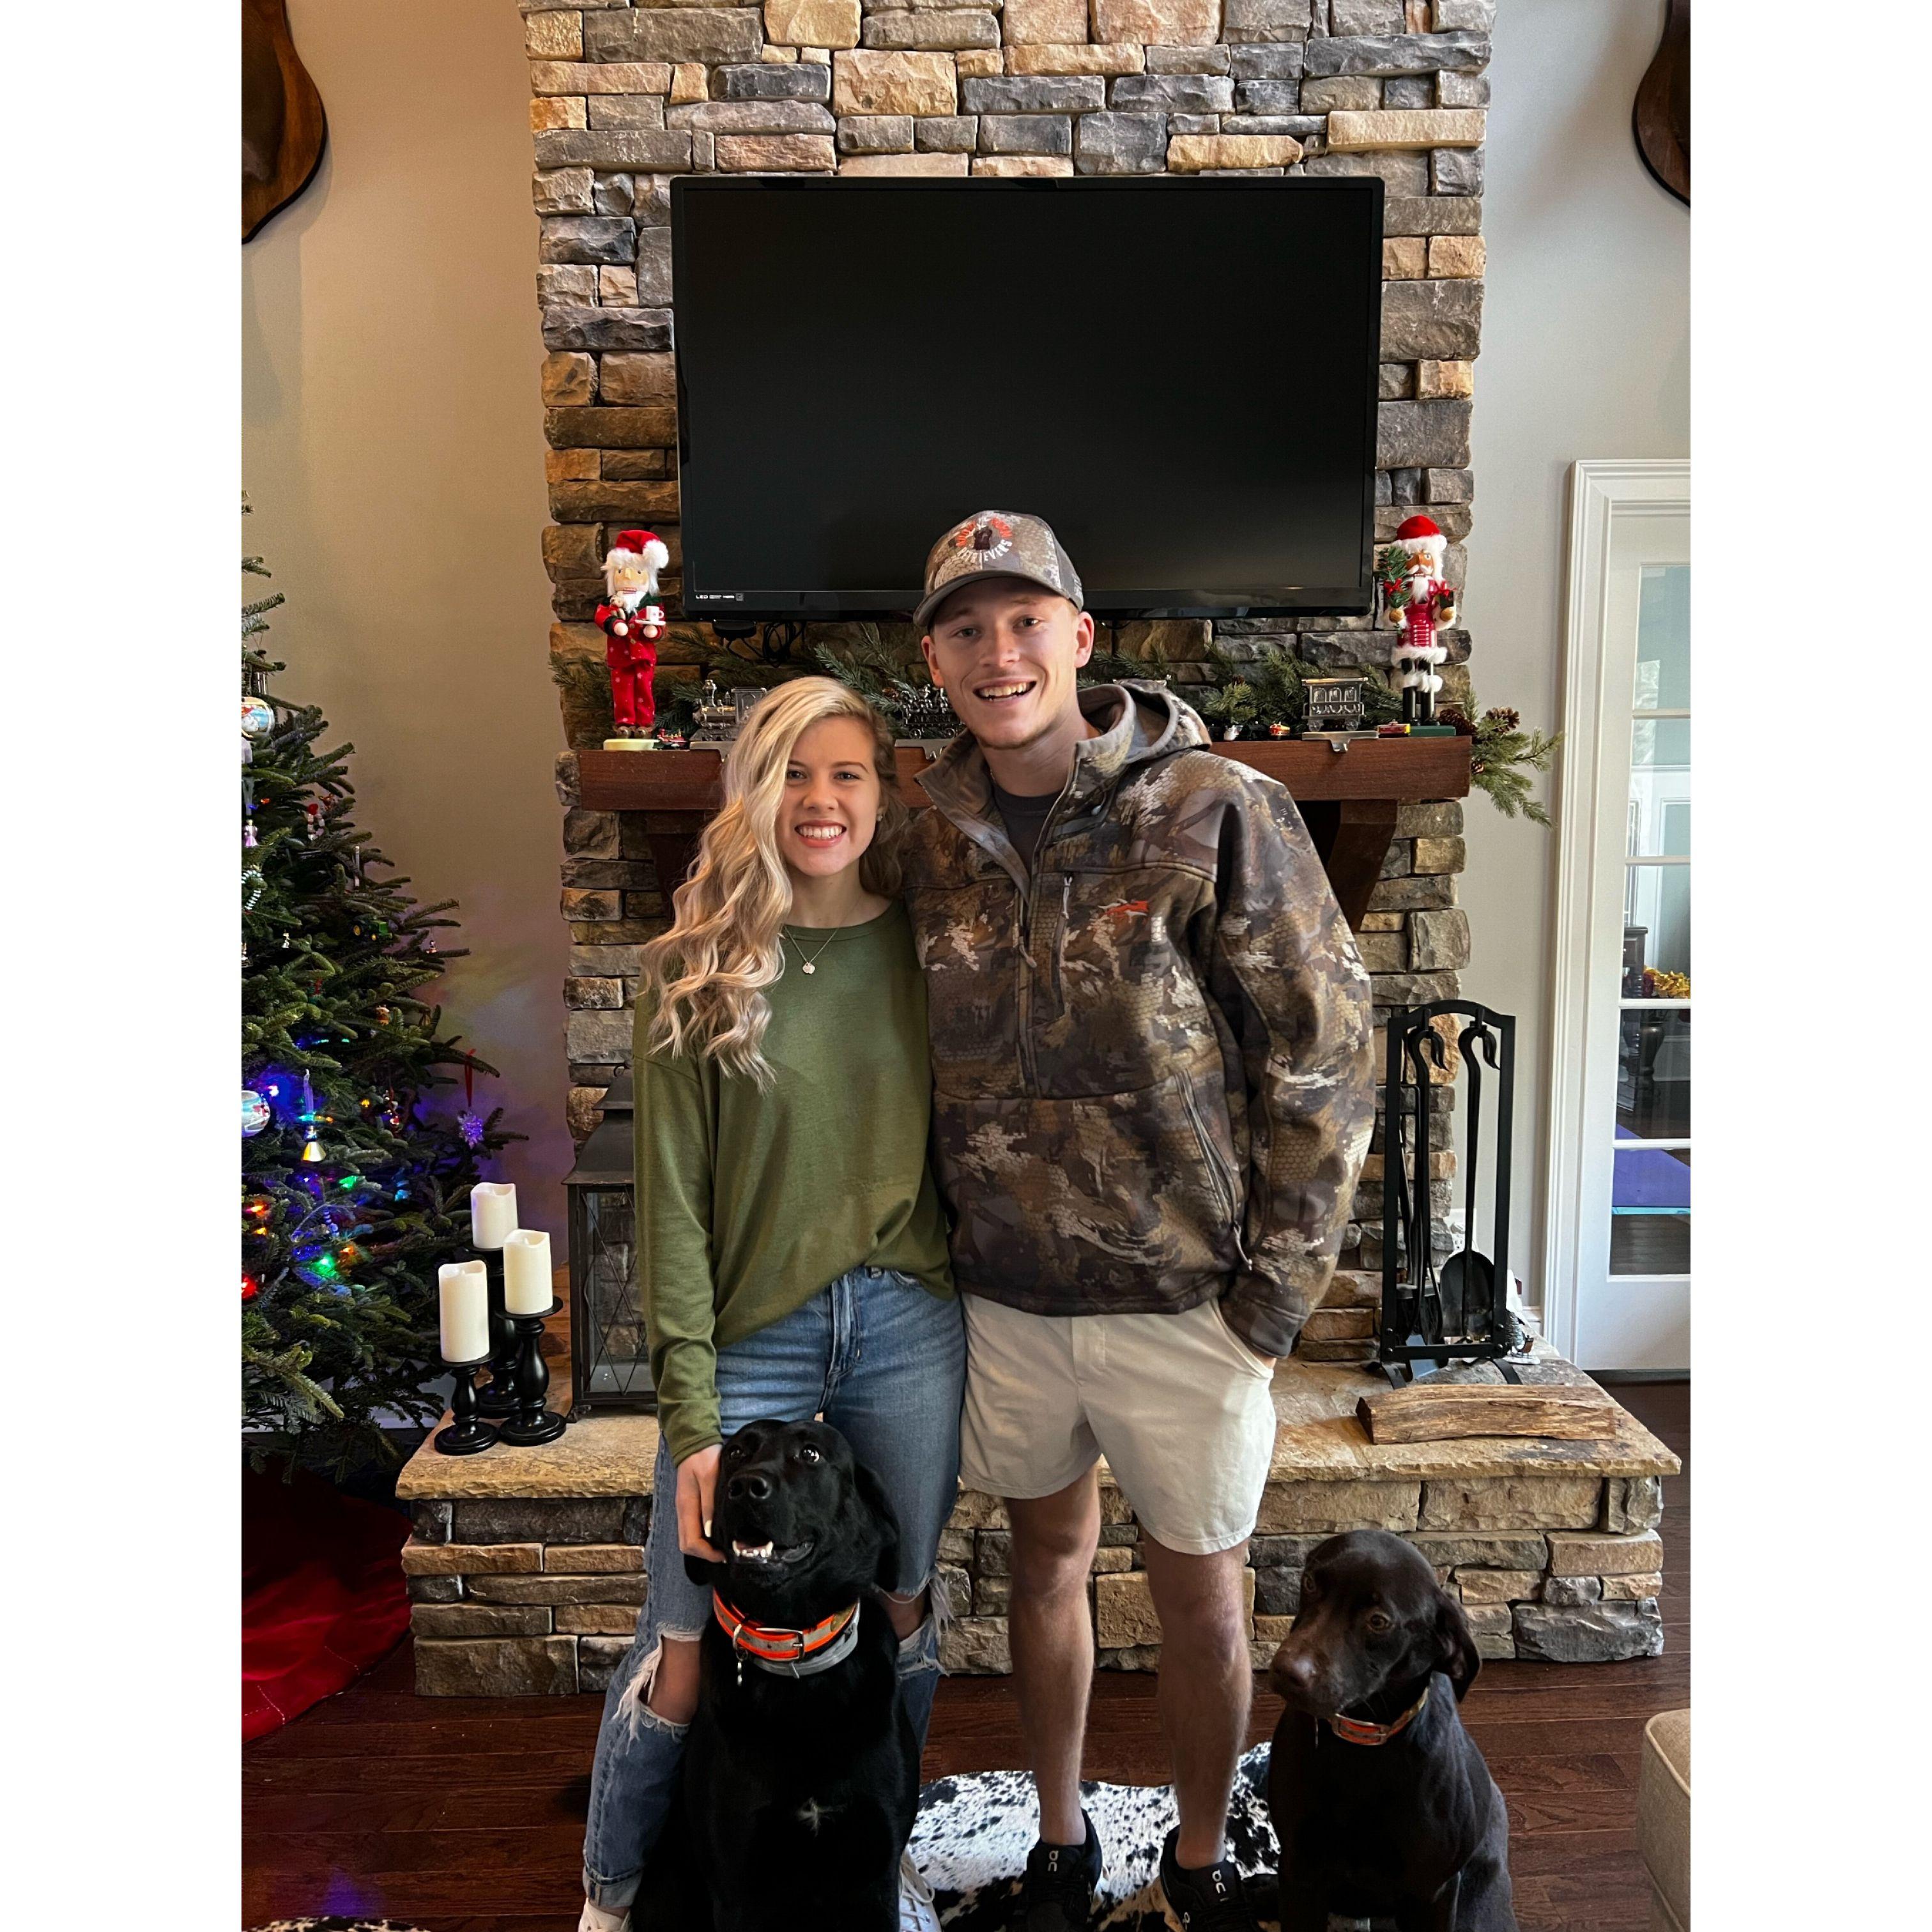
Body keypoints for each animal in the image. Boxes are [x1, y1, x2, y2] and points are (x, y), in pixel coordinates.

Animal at [632, 1418, 919, 1932]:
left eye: (811, 1454)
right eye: (736, 1453)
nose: (746, 1487)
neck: (795, 1658)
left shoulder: (874, 1874)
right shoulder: (737, 1887)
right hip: (667, 1892)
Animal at [1266, 1530, 1518, 1932]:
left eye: (1378, 1621)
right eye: (1309, 1583)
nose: (1286, 1670)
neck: (1362, 1744)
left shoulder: (1433, 1893)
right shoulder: (1298, 1875)